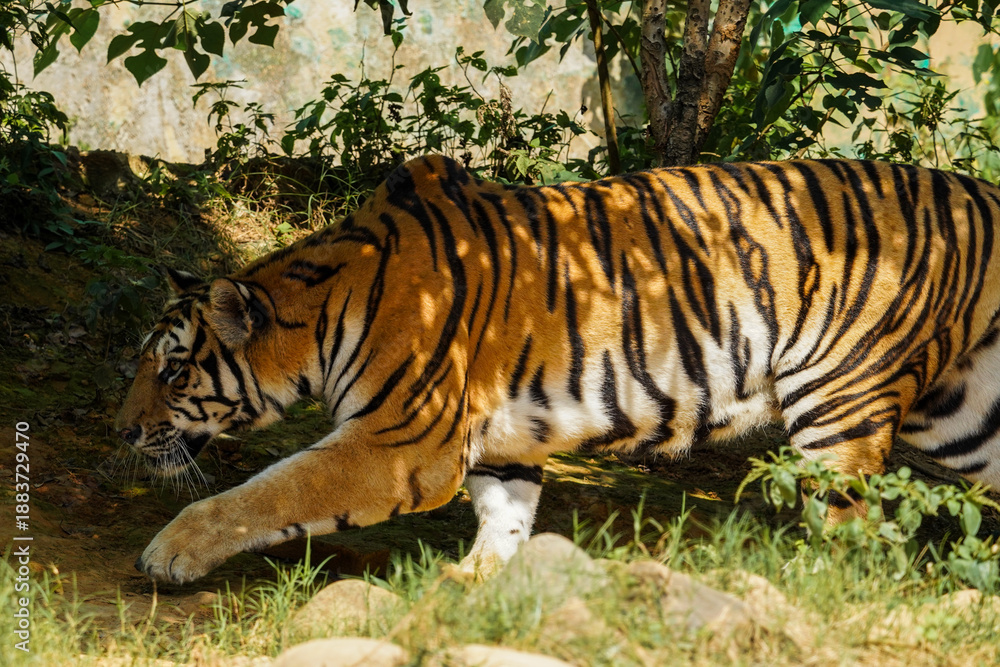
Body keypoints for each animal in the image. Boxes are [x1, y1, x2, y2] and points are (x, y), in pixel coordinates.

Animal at [116, 154, 1000, 584]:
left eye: (173, 371)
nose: (122, 430)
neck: (321, 306)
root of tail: (977, 193)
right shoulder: (501, 435)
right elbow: (505, 512)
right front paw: (475, 584)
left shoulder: (396, 445)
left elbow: (267, 493)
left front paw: (169, 552)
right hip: (965, 417)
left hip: (839, 398)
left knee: (855, 527)